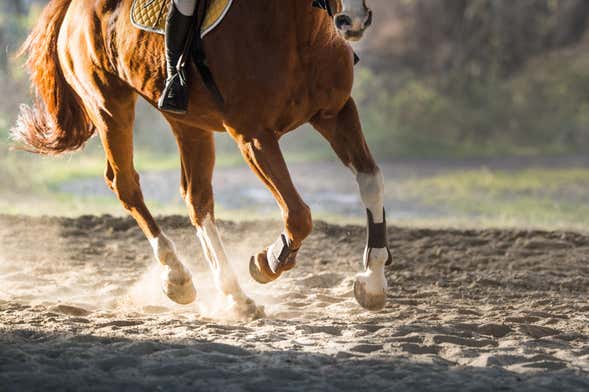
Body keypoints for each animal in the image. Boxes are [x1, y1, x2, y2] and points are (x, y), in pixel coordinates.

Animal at [11, 0, 388, 316]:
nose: (352, 20)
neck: (302, 32)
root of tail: (74, 6)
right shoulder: (254, 137)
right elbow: (298, 216)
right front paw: (268, 261)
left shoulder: (336, 113)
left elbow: (371, 181)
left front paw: (372, 282)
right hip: (108, 106)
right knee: (126, 185)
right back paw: (177, 275)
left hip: (187, 123)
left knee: (197, 199)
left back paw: (234, 296)